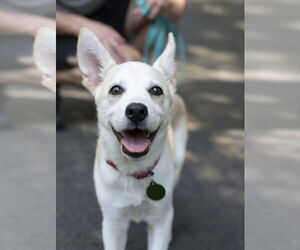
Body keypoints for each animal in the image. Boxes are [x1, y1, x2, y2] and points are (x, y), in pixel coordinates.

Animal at [77, 27, 188, 250]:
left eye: (156, 90)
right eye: (116, 90)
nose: (136, 110)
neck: (133, 171)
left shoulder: (159, 220)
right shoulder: (113, 223)